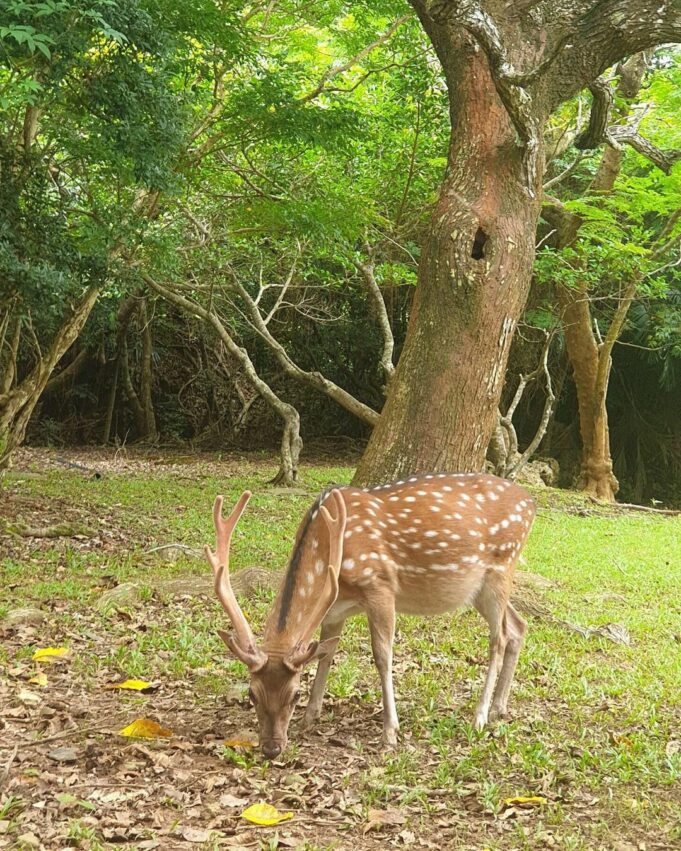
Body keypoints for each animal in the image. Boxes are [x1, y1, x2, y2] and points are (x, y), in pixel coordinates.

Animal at [205, 472, 532, 760]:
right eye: (252, 694)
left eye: (294, 694)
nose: (272, 748)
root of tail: (531, 503)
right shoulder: (334, 610)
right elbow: (326, 655)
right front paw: (310, 717)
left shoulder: (380, 587)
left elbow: (382, 656)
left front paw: (390, 731)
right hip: (478, 591)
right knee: (518, 625)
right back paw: (500, 707)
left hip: (501, 568)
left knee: (499, 637)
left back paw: (480, 715)